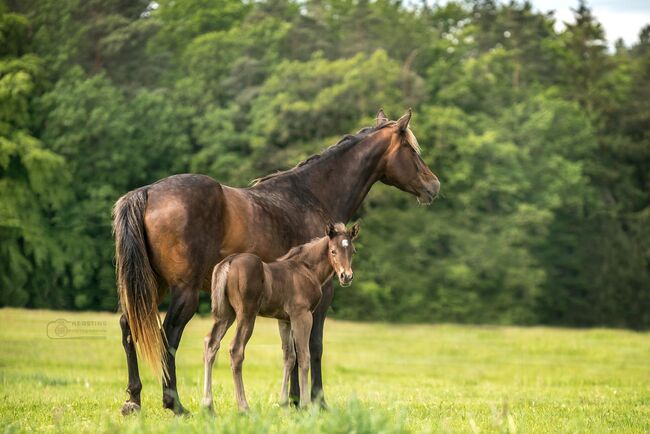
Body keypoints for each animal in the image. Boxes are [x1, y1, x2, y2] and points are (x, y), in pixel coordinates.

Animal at [200, 224, 356, 410]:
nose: (346, 276)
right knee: (236, 349)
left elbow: (289, 357)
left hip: (225, 314)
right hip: (246, 314)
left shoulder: (284, 320)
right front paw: (305, 404)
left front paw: (283, 403)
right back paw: (244, 407)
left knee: (211, 343)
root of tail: (228, 262)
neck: (306, 269)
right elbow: (304, 356)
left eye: (353, 251)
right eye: (333, 251)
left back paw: (208, 405)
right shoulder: (302, 315)